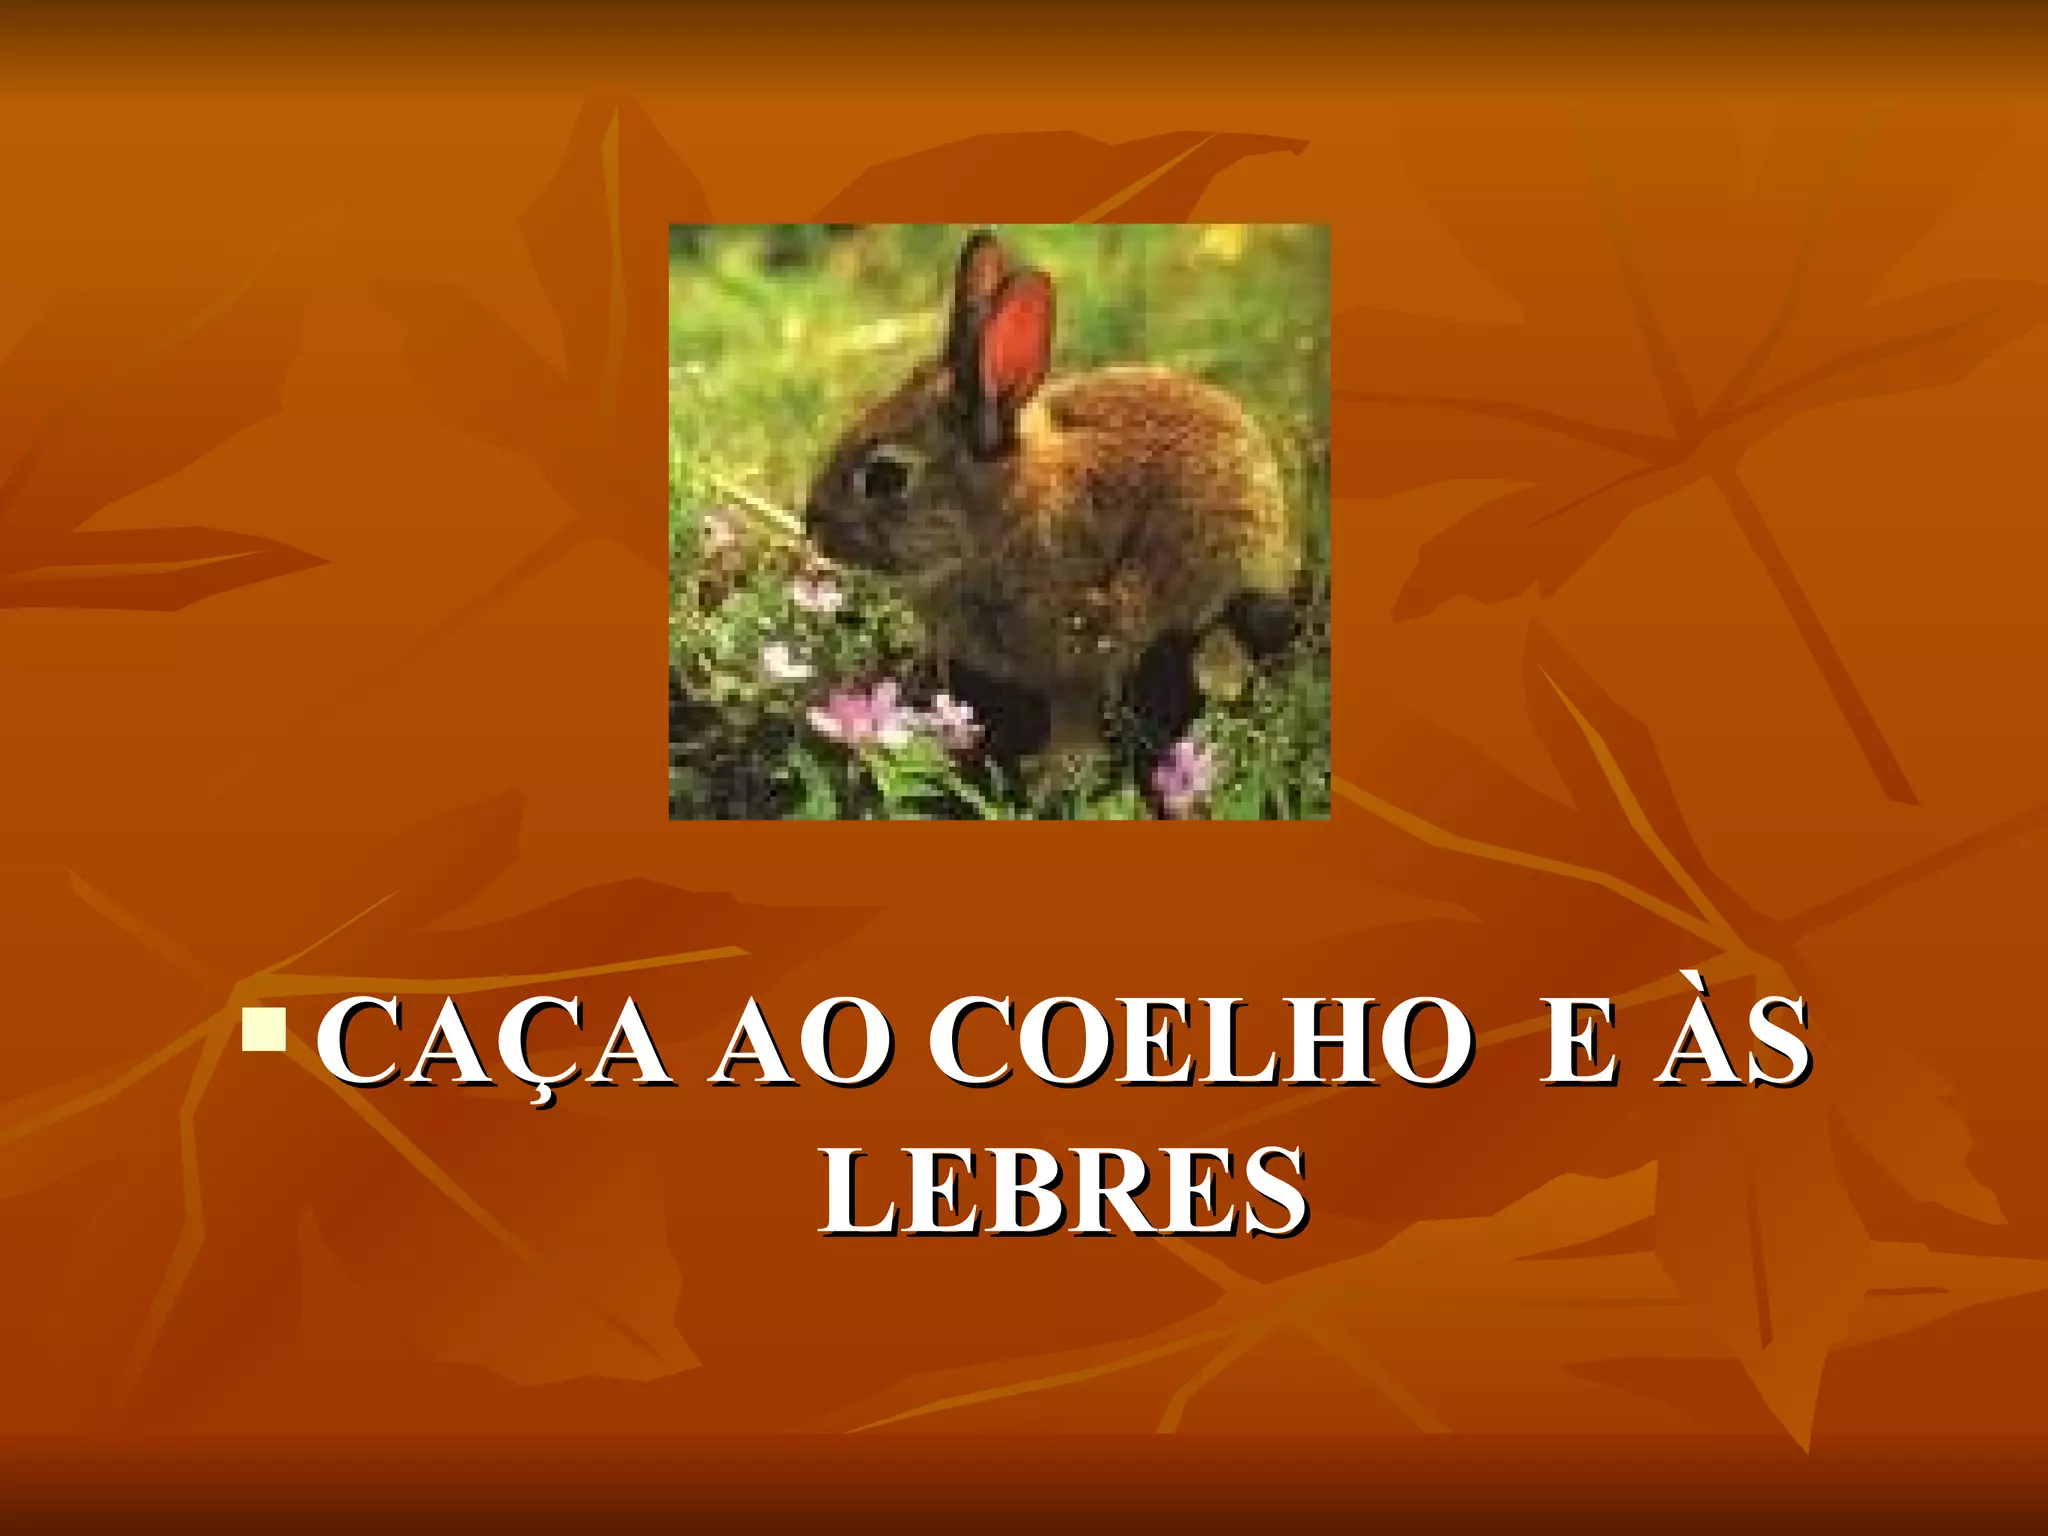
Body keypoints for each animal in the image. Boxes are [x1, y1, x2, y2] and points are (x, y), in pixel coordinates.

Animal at [804, 228, 1300, 770]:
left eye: (885, 477)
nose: (811, 522)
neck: (1006, 517)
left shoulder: (1085, 646)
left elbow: (1073, 717)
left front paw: (1057, 772)